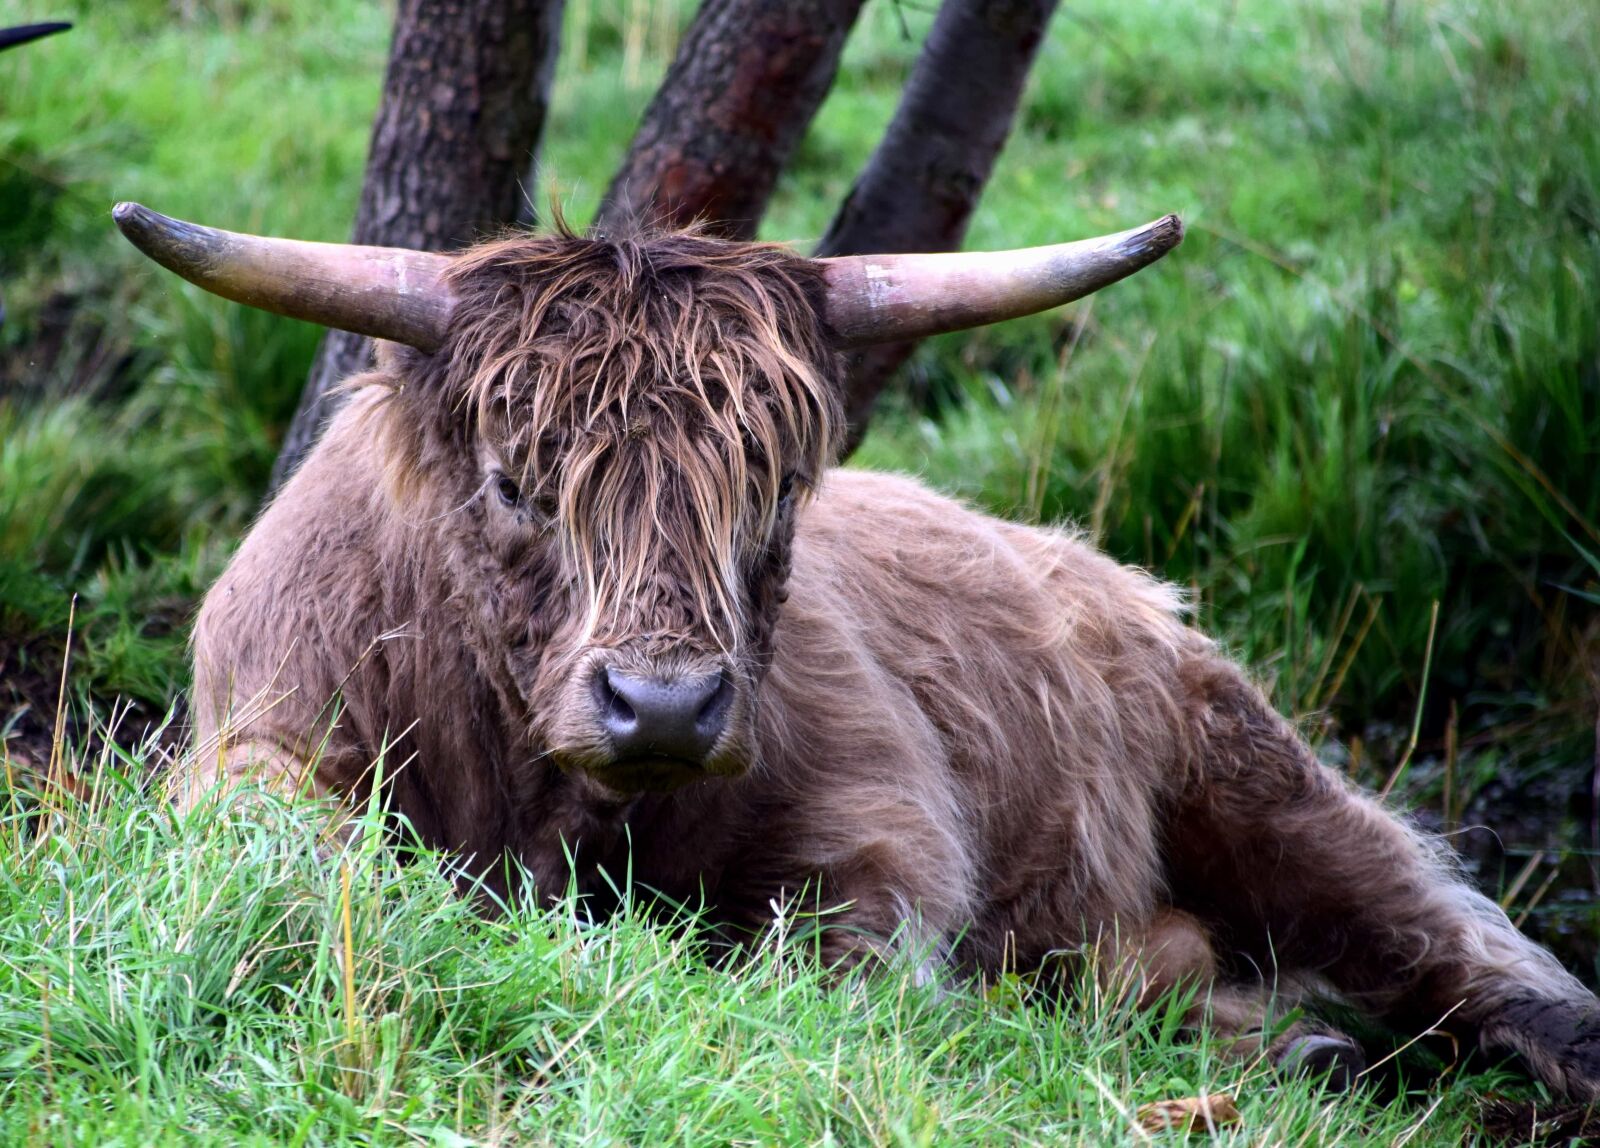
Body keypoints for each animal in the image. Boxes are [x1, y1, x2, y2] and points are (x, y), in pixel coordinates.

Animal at [115, 200, 1600, 1099]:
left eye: (774, 488)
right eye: (515, 483)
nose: (664, 707)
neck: (559, 804)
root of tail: (1113, 579)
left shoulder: (883, 815)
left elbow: (842, 959)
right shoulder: (256, 739)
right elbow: (302, 849)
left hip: (1263, 781)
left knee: (1447, 931)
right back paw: (1277, 1035)